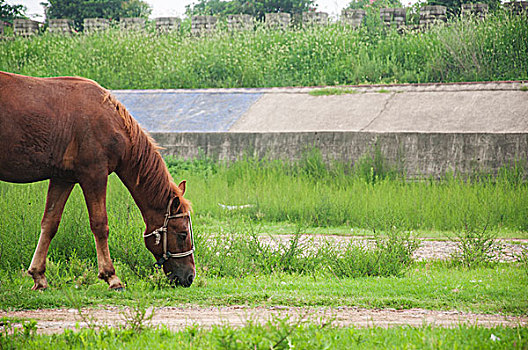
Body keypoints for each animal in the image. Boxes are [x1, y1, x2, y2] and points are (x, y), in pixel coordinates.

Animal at [0, 71, 196, 290]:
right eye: (182, 234)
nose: (189, 276)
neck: (110, 120)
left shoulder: (62, 179)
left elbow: (49, 224)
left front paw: (38, 276)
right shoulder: (94, 175)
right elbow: (100, 224)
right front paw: (111, 277)